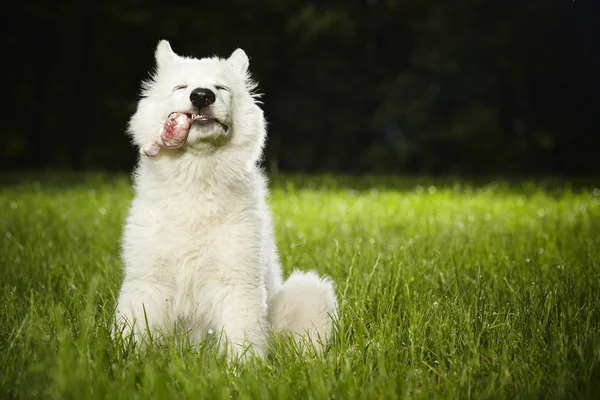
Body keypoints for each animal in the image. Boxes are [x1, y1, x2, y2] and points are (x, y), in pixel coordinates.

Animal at [113, 40, 338, 360]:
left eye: (221, 88)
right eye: (181, 87)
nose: (201, 95)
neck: (198, 180)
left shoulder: (238, 284)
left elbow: (241, 340)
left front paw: (242, 369)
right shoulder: (147, 282)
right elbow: (132, 333)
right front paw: (124, 360)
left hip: (307, 291)